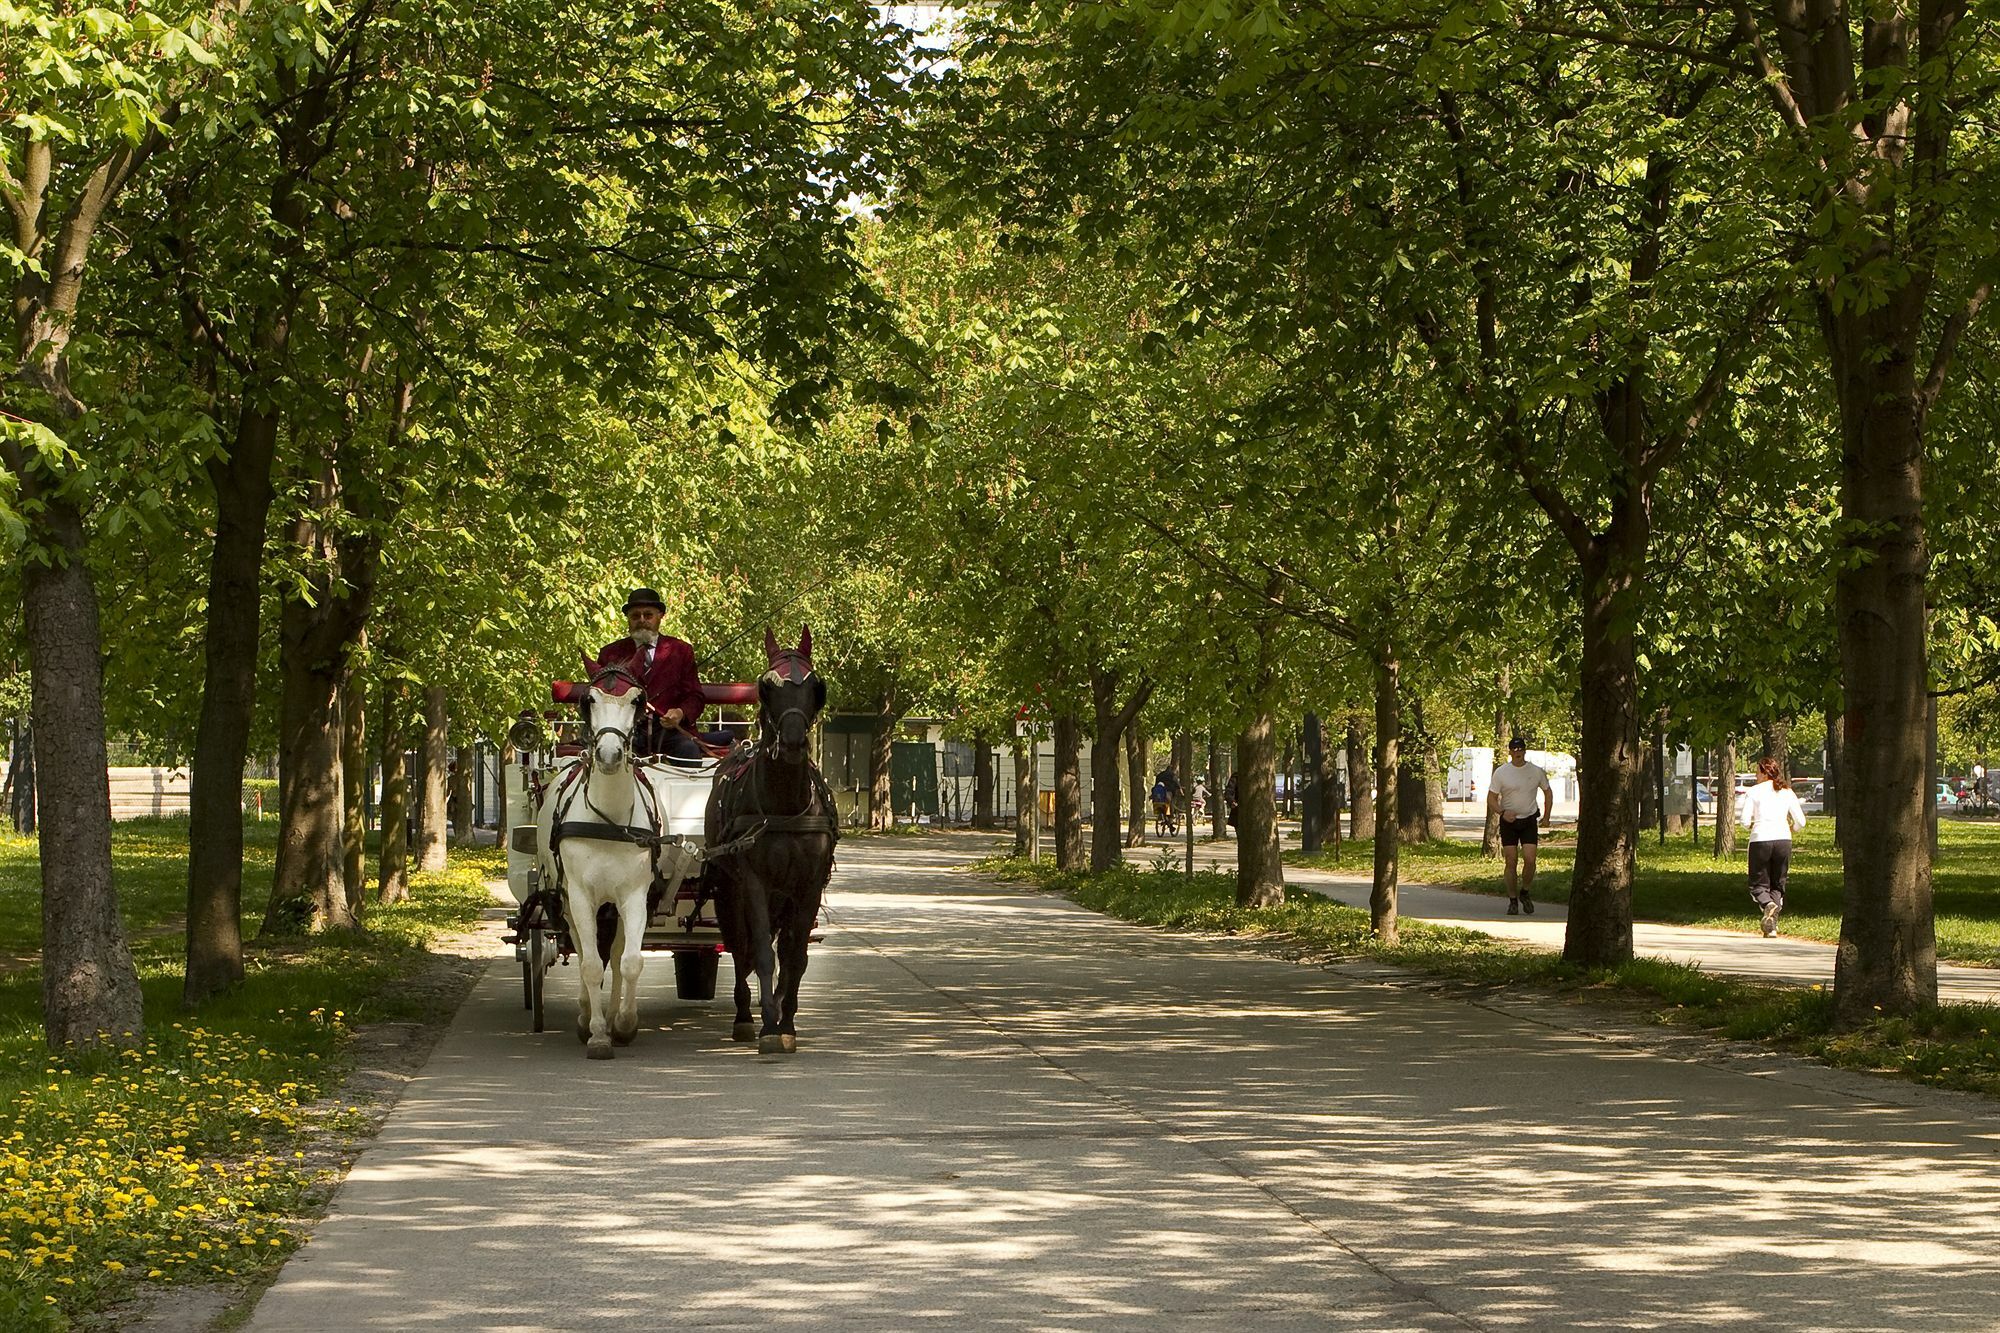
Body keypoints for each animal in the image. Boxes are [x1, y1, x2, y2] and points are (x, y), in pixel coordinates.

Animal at [536, 652, 660, 1056]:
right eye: (588, 699)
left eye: (637, 700)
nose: (608, 754)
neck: (608, 820)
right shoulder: (579, 896)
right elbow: (590, 964)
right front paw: (598, 1032)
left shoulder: (634, 896)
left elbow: (630, 961)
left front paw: (623, 1024)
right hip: (565, 899)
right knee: (579, 946)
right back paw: (585, 1014)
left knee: (618, 952)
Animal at [704, 628, 836, 1056]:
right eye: (767, 686)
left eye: (815, 685)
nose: (793, 742)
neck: (785, 804)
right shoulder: (754, 883)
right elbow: (761, 952)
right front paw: (766, 1026)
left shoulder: (808, 886)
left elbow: (795, 956)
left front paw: (786, 1021)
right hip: (729, 891)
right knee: (738, 946)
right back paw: (745, 1015)